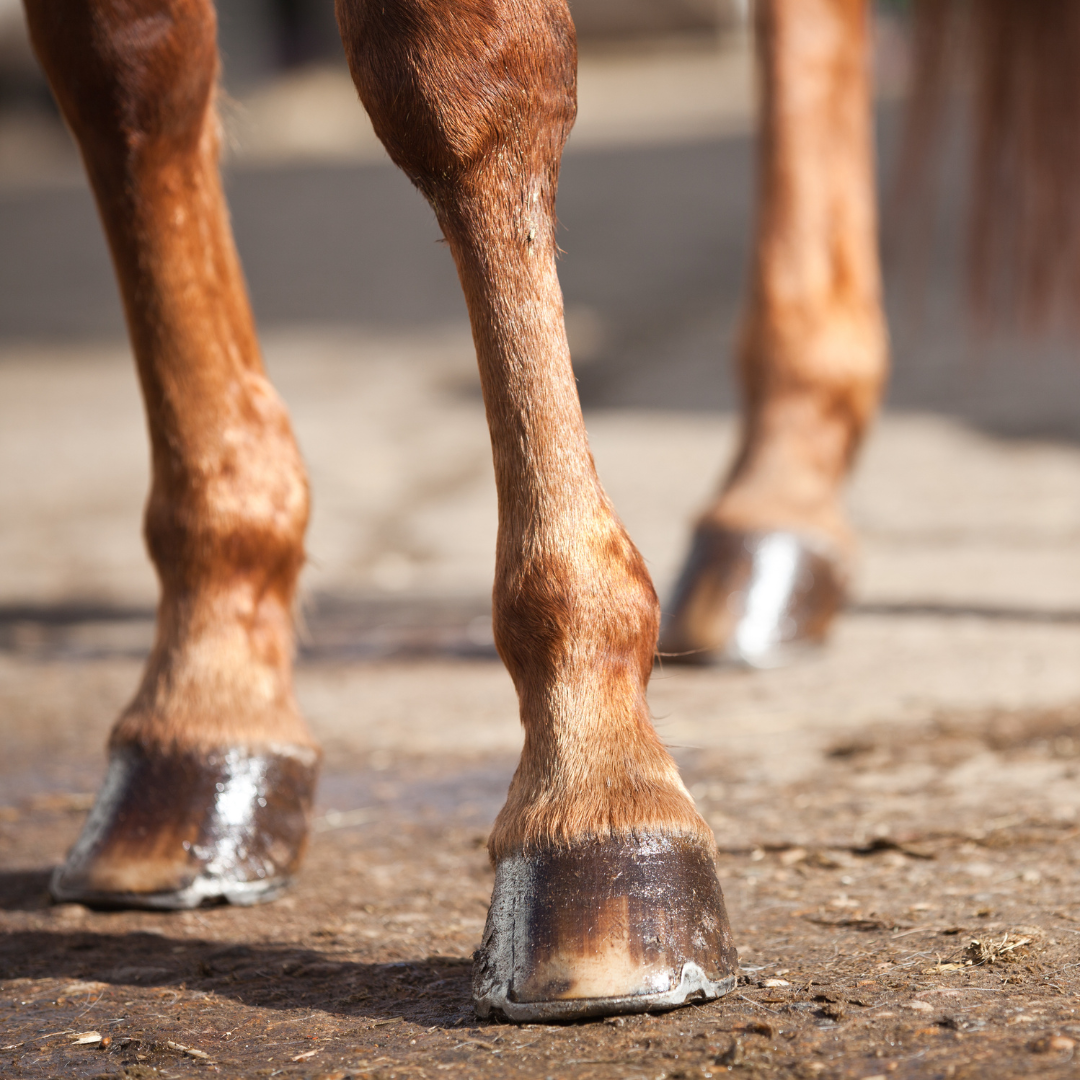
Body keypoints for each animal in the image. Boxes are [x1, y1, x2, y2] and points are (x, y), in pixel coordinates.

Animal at [21, 0, 1074, 1022]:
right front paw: (206, 701)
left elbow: (450, 73)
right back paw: (779, 501)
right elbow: (121, 66)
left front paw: (596, 784)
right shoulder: (119, 64)